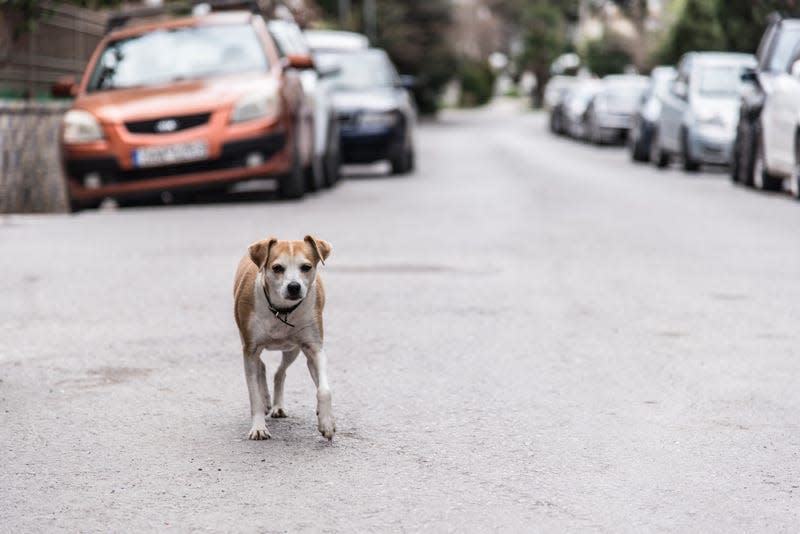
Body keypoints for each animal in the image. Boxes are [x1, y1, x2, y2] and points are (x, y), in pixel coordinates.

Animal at [231, 237, 334, 442]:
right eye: (277, 268)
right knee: (260, 367)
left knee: (280, 373)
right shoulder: (250, 349)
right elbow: (253, 393)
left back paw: (278, 405)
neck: (282, 310)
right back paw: (266, 401)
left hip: (292, 349)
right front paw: (258, 427)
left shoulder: (314, 348)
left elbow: (324, 389)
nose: (294, 286)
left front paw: (326, 422)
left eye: (306, 267)